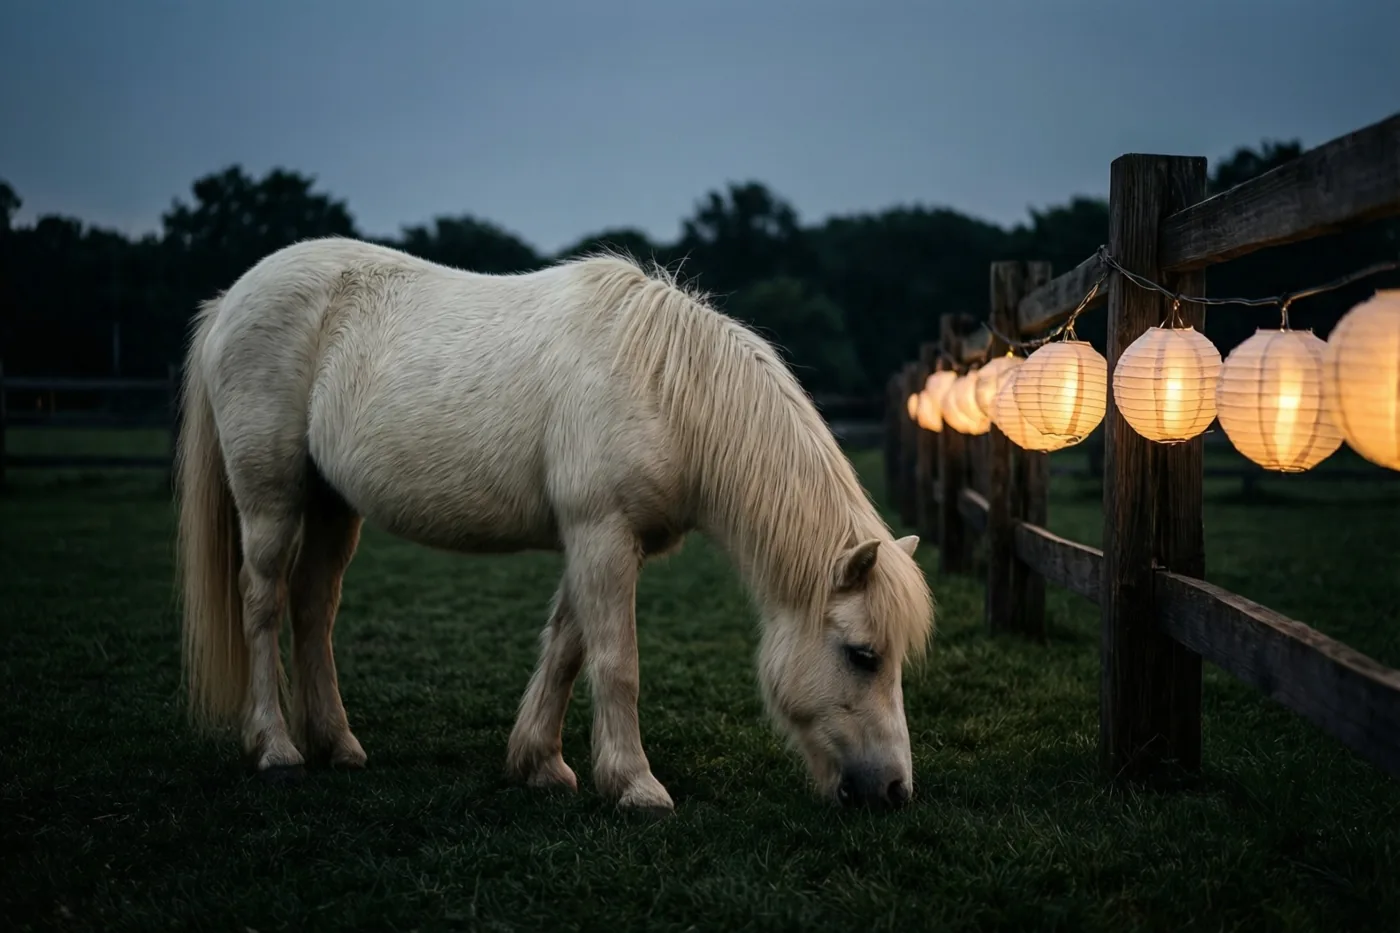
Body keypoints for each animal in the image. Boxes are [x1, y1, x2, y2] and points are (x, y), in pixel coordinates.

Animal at [175, 237, 935, 811]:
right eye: (862, 655)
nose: (895, 790)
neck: (665, 389)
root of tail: (230, 299)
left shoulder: (601, 539)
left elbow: (567, 649)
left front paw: (538, 763)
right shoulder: (601, 533)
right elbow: (616, 661)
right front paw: (635, 785)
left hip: (334, 504)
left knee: (314, 605)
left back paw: (337, 745)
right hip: (270, 497)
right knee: (263, 603)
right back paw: (277, 749)